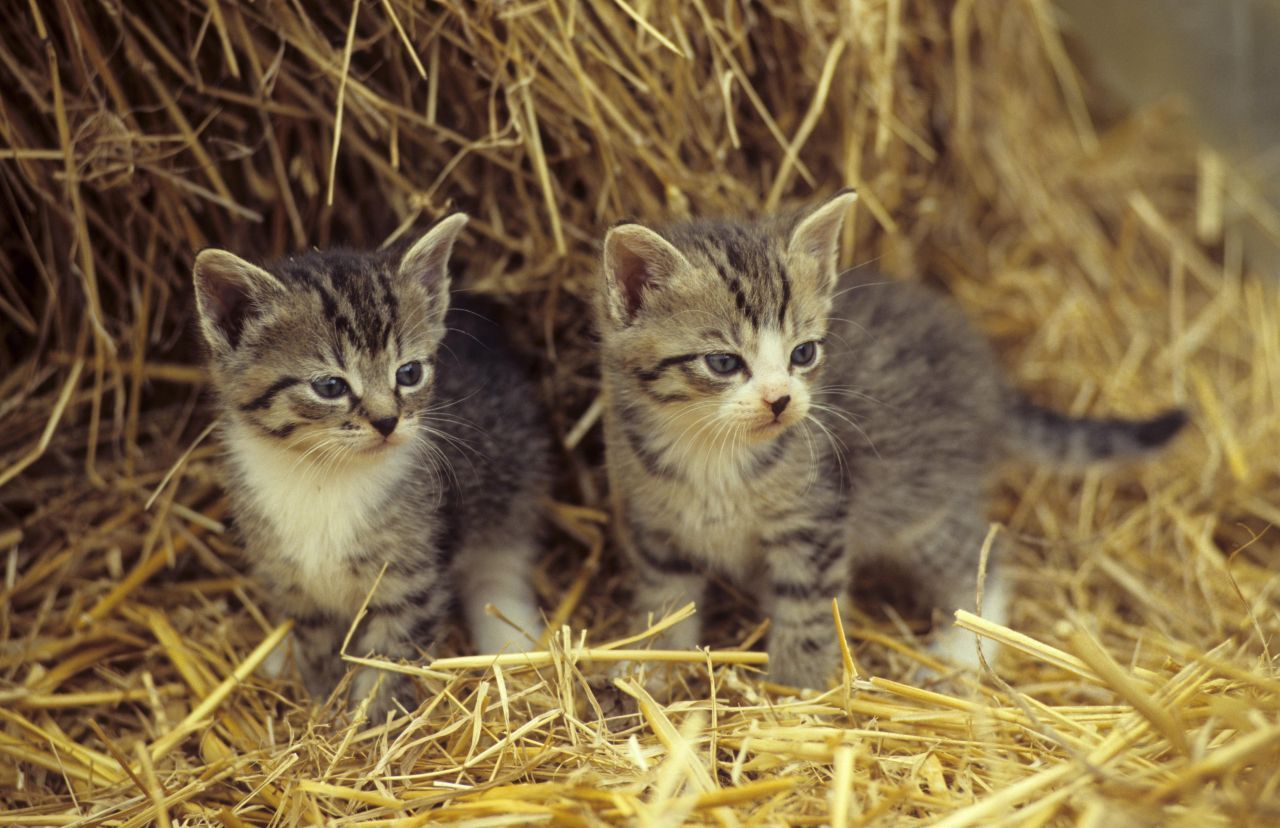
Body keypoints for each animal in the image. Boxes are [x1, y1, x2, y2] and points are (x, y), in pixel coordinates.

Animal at [193, 214, 550, 716]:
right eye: (329, 386)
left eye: (409, 373)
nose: (386, 421)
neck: (323, 477)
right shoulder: (293, 582)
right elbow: (318, 649)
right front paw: (322, 707)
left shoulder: (411, 576)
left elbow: (389, 658)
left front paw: (373, 721)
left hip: (511, 471)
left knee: (500, 564)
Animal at [593, 190, 1182, 691]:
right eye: (722, 362)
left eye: (803, 353)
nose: (781, 400)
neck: (713, 450)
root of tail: (990, 381)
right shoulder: (655, 527)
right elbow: (666, 601)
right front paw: (650, 669)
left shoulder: (816, 520)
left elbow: (809, 610)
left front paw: (795, 690)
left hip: (925, 505)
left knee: (987, 558)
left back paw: (964, 649)